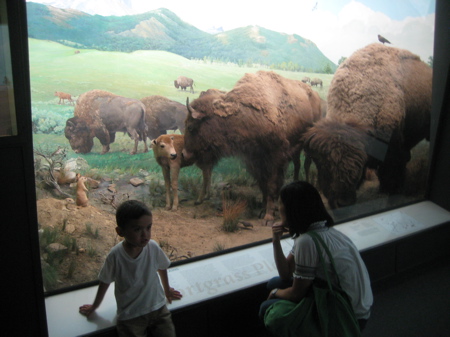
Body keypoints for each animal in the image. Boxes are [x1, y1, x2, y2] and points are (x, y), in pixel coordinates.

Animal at [183, 70, 324, 222]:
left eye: (190, 127)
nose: (184, 154)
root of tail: (316, 96)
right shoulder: (255, 159)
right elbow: (263, 184)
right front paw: (262, 209)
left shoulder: (276, 157)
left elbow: (272, 184)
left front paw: (269, 216)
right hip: (295, 148)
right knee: (297, 164)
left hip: (307, 145)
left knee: (307, 164)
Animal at [304, 43, 430, 209]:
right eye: (325, 166)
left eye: (359, 166)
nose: (342, 202)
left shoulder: (394, 149)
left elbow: (394, 171)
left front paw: (392, 192)